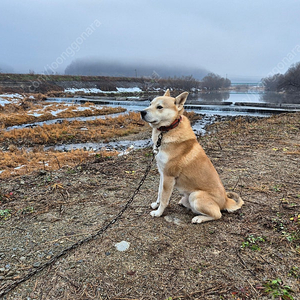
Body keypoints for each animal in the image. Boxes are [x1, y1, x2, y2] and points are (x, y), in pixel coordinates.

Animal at [141, 89, 244, 223]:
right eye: (150, 104)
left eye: (159, 107)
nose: (142, 112)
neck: (167, 130)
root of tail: (226, 201)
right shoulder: (163, 173)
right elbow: (159, 192)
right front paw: (156, 204)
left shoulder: (169, 176)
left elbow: (164, 198)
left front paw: (158, 212)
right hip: (187, 197)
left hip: (196, 195)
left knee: (217, 214)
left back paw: (199, 218)